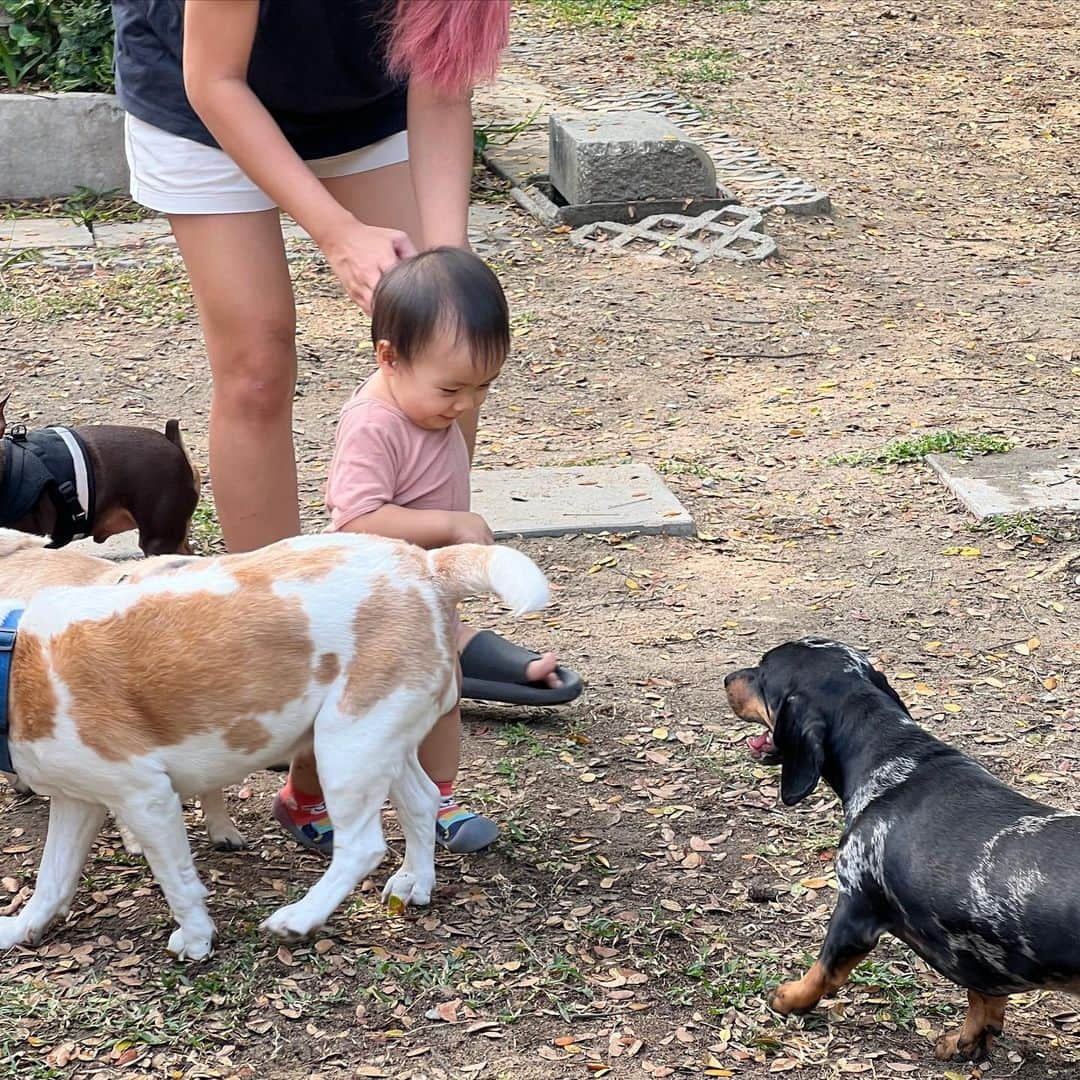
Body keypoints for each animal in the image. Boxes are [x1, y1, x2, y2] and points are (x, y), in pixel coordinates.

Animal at [0, 527, 544, 959]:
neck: (17, 663)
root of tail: (427, 567)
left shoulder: (145, 798)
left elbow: (177, 881)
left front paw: (196, 939)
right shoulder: (80, 800)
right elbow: (52, 879)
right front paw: (23, 928)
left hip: (346, 748)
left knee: (362, 846)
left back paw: (300, 918)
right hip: (379, 743)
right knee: (424, 802)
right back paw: (416, 883)